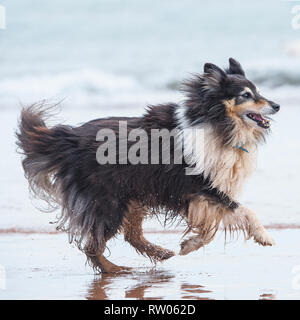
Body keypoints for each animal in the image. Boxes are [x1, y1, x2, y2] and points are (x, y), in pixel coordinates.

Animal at [15, 57, 278, 272]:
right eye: (246, 95)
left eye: (258, 90)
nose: (277, 106)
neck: (217, 123)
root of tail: (69, 139)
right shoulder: (200, 185)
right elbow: (242, 210)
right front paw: (265, 236)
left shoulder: (200, 194)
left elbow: (210, 228)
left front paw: (188, 245)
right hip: (108, 202)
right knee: (93, 246)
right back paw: (115, 270)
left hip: (133, 195)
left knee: (130, 235)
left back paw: (160, 254)